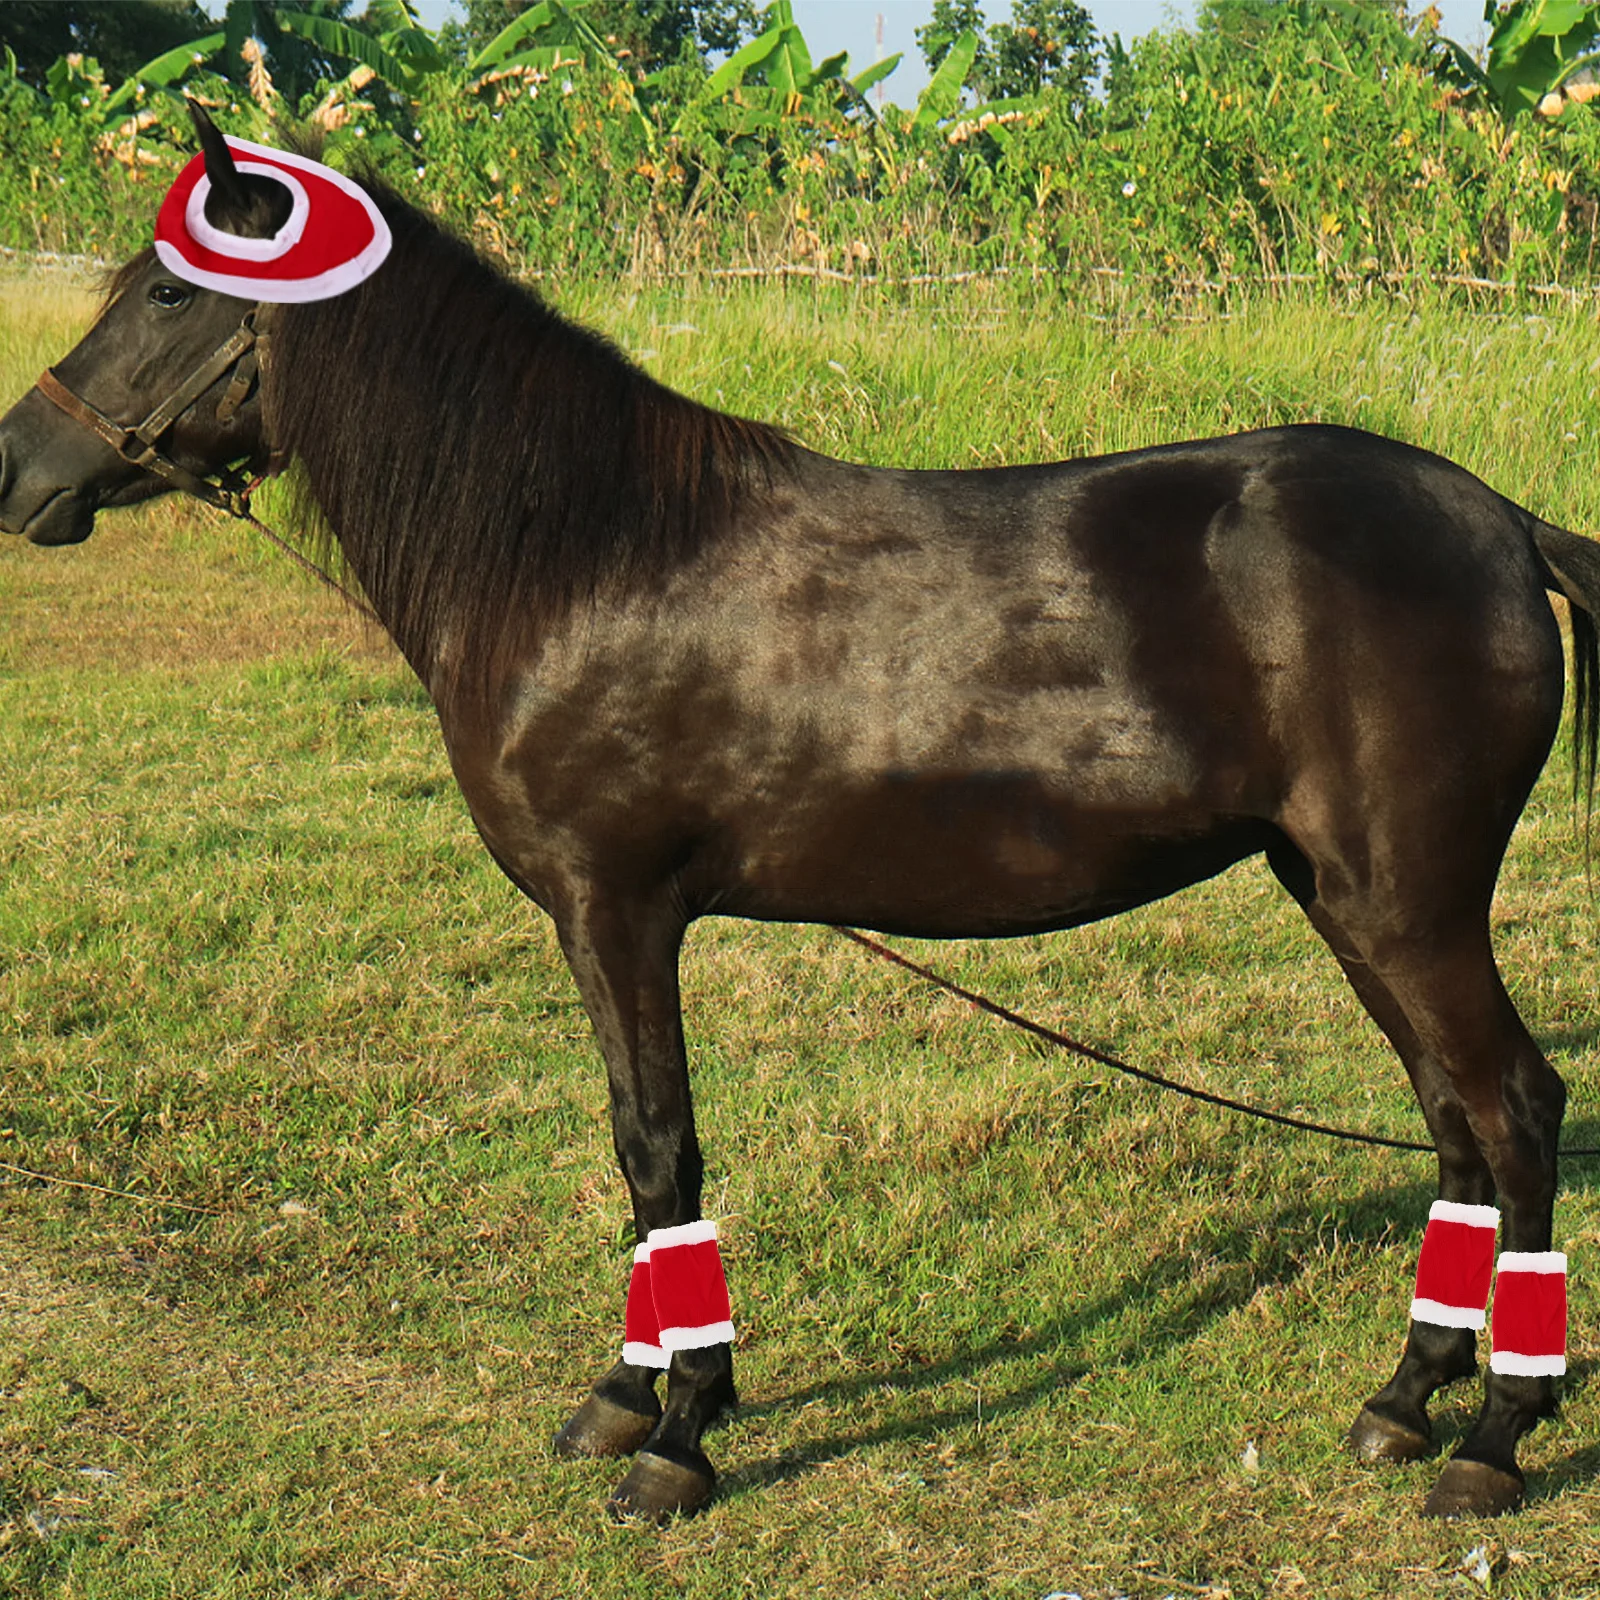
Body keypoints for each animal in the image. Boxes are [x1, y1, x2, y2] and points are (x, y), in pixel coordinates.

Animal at [0, 105, 1590, 1524]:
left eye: (165, 289)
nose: (18, 469)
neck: (583, 553)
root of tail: (1504, 523)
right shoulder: (607, 921)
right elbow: (637, 1148)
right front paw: (625, 1397)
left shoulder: (618, 909)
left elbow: (657, 1145)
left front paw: (678, 1437)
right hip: (1340, 897)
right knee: (1452, 1126)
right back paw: (1404, 1399)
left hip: (1410, 904)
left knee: (1515, 1110)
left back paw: (1494, 1438)